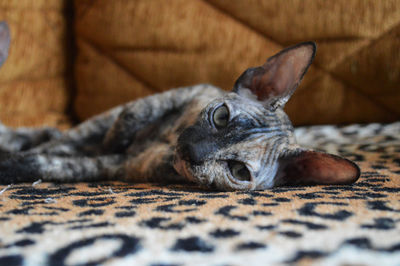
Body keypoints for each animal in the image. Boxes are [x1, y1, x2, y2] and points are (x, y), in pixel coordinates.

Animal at [0, 21, 360, 191]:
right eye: (221, 115)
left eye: (238, 171)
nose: (192, 151)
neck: (166, 140)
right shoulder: (170, 96)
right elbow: (126, 117)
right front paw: (112, 138)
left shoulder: (120, 166)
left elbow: (54, 163)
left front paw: (11, 165)